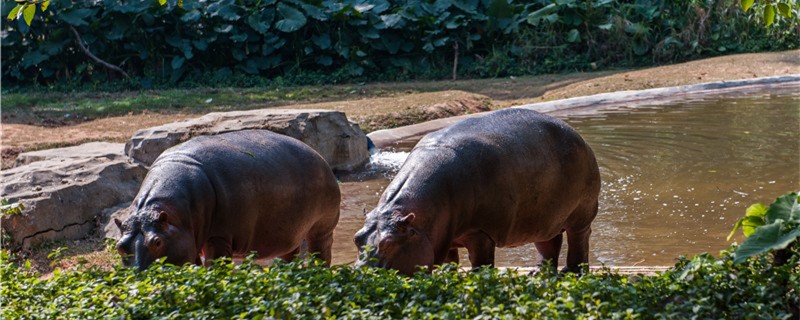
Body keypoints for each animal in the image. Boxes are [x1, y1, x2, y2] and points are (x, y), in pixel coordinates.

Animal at [114, 130, 340, 270]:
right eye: (119, 246)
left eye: (157, 242)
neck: (172, 214)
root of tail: (319, 155)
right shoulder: (189, 240)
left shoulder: (219, 237)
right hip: (290, 232)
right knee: (289, 255)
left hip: (322, 228)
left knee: (321, 253)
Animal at [354, 108, 600, 276]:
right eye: (357, 239)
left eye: (388, 243)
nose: (359, 277)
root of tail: (579, 137)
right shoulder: (443, 234)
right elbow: (449, 261)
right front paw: (448, 278)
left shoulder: (481, 231)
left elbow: (481, 264)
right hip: (544, 218)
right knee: (549, 242)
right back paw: (538, 273)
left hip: (580, 215)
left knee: (579, 240)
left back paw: (573, 272)